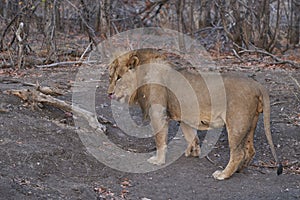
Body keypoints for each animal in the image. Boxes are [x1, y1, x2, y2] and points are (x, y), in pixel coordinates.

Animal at [106, 48, 282, 180]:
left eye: (119, 77)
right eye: (111, 77)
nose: (109, 94)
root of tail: (257, 85)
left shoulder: (158, 114)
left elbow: (160, 140)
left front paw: (158, 161)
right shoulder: (183, 117)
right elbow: (190, 135)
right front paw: (193, 152)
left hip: (236, 123)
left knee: (238, 153)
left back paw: (223, 174)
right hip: (250, 123)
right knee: (250, 150)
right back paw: (239, 169)